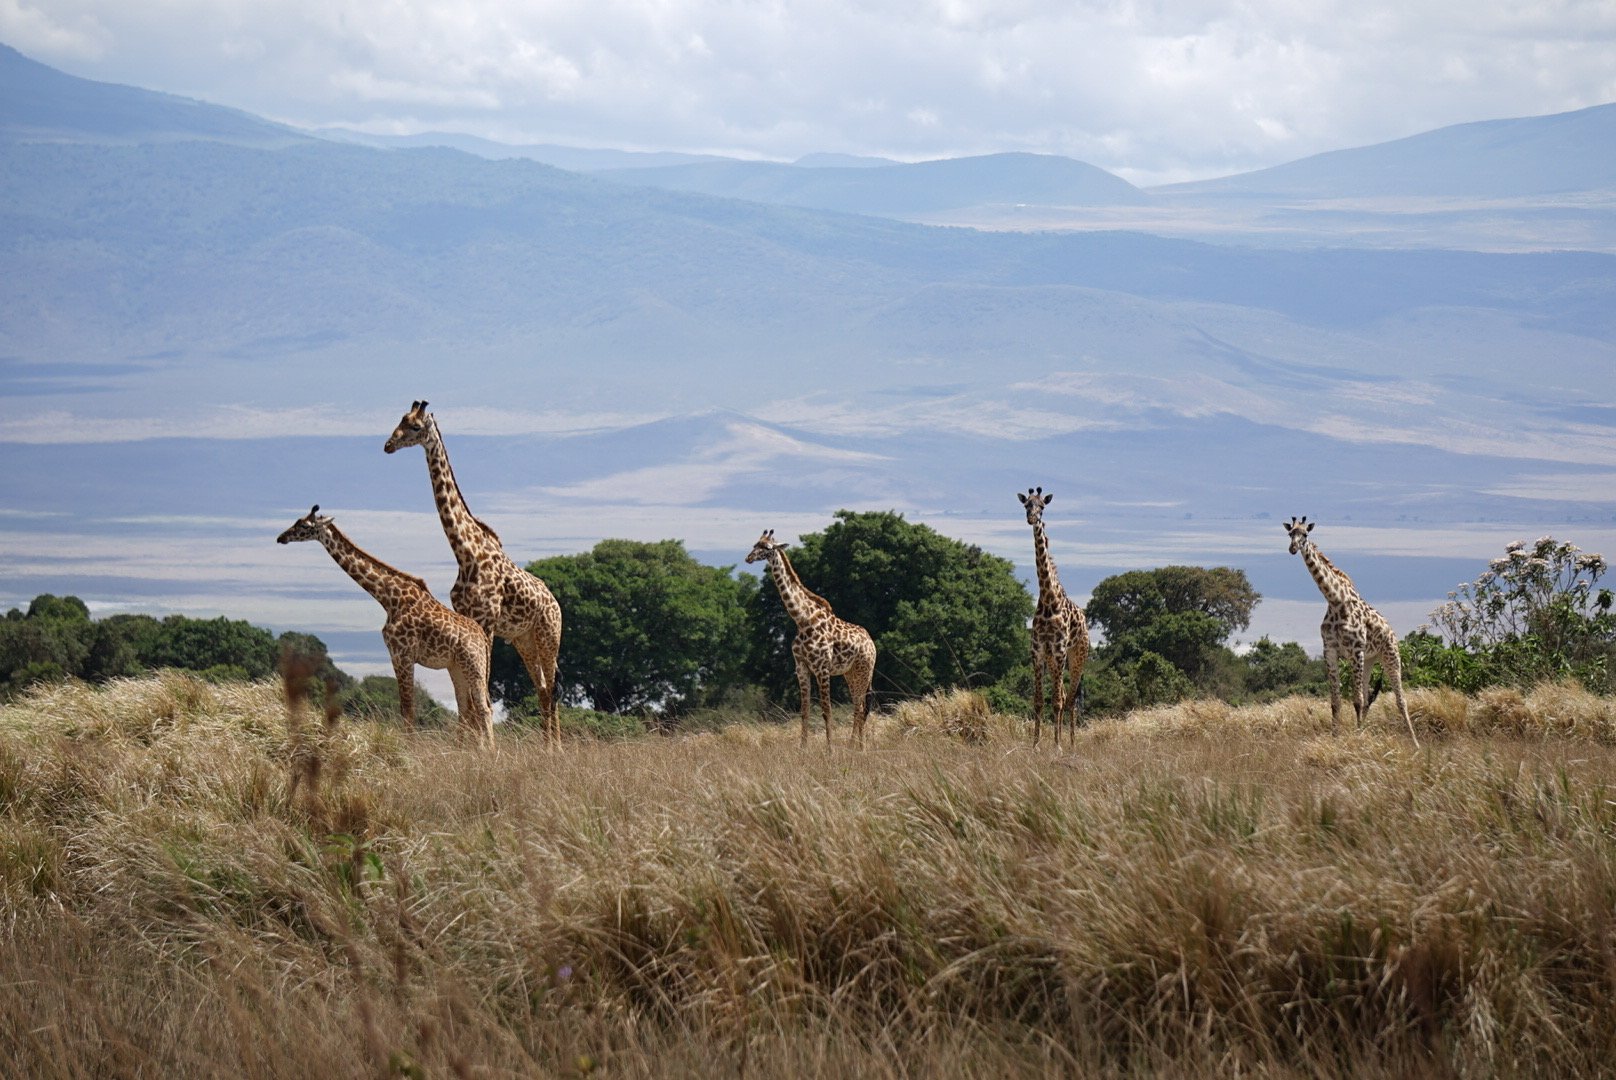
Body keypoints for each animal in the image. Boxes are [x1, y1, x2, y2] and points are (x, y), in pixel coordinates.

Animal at [276, 505, 494, 746]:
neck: (388, 598)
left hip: (473, 664)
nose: (281, 537)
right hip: (456, 666)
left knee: (484, 709)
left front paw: (409, 749)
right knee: (467, 708)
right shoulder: (399, 655)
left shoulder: (402, 654)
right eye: (296, 521)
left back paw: (489, 752)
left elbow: (407, 708)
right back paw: (466, 749)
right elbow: (407, 708)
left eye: (304, 525)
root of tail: (483, 639)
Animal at [385, 400, 564, 742]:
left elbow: (479, 690)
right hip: (524, 640)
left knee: (552, 688)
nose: (388, 445)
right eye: (399, 420)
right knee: (542, 687)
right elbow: (467, 695)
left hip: (549, 635)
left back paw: (556, 748)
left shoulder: (488, 620)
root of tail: (556, 603)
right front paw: (467, 744)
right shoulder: (468, 617)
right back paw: (546, 746)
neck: (465, 552)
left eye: (415, 426)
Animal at [746, 529, 877, 748]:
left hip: (864, 671)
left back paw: (860, 747)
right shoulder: (801, 667)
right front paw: (803, 748)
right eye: (755, 544)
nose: (748, 558)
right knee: (858, 708)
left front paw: (830, 749)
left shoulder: (822, 668)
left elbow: (826, 711)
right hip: (849, 673)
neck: (802, 620)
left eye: (768, 547)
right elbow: (804, 711)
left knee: (861, 708)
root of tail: (871, 643)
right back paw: (853, 746)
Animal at [1018, 487, 1091, 748]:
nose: (1032, 518)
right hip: (1053, 661)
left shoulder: (1059, 651)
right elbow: (1039, 701)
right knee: (1063, 695)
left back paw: (1070, 743)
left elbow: (1057, 702)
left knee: (1070, 700)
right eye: (1026, 504)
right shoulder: (1038, 651)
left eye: (1042, 506)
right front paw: (1036, 744)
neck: (1049, 600)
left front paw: (1057, 746)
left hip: (1078, 655)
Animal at [1284, 516, 1418, 745]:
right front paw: (1336, 737)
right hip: (1370, 659)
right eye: (1290, 533)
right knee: (1367, 698)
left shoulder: (1355, 651)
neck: (1335, 601)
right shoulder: (1330, 650)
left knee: (1400, 700)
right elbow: (1336, 702)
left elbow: (1356, 699)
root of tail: (1392, 632)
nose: (1293, 548)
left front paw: (1356, 739)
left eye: (1305, 534)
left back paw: (1415, 742)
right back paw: (1362, 729)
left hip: (1390, 656)